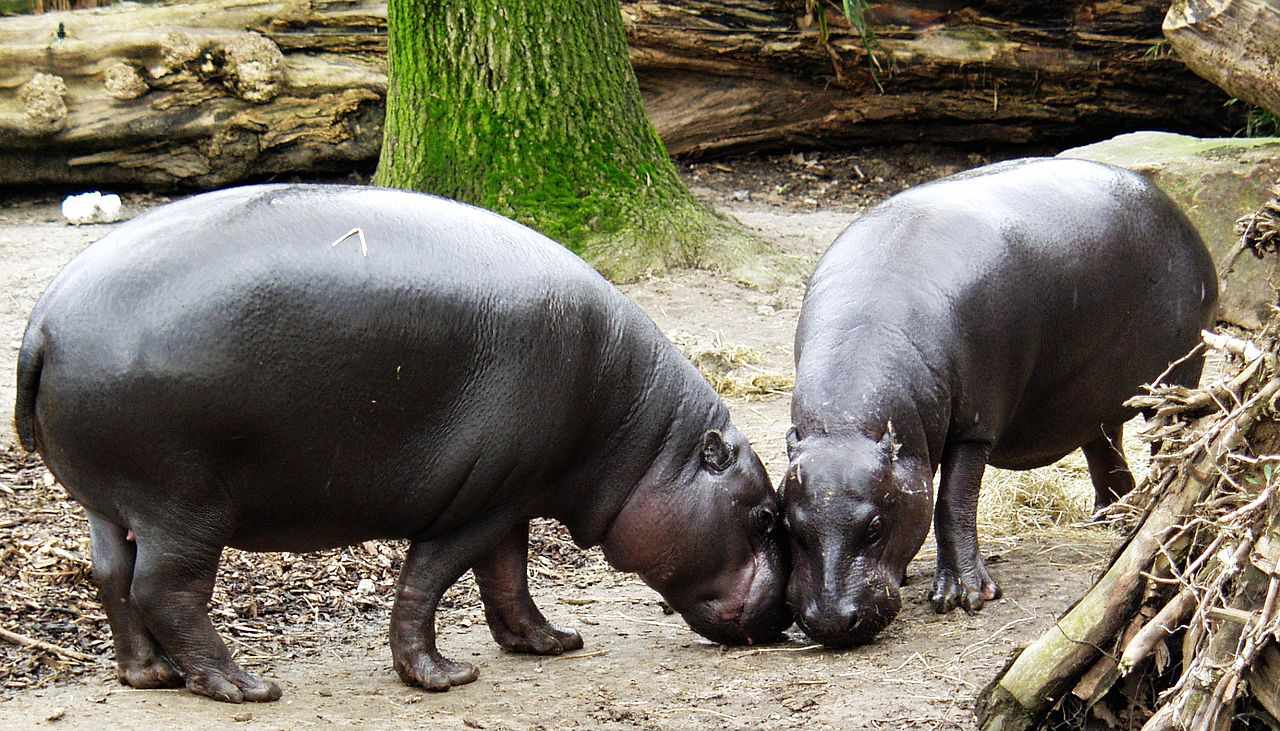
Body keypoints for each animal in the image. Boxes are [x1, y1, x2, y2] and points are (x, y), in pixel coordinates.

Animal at [783, 158, 1213, 645]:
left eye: (874, 526)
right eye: (788, 523)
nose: (830, 622)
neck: (846, 429)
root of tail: (1176, 210)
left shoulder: (974, 427)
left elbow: (951, 501)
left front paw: (964, 597)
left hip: (1175, 379)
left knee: (1167, 444)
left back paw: (1149, 513)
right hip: (1093, 399)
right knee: (1106, 448)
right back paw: (1114, 519)